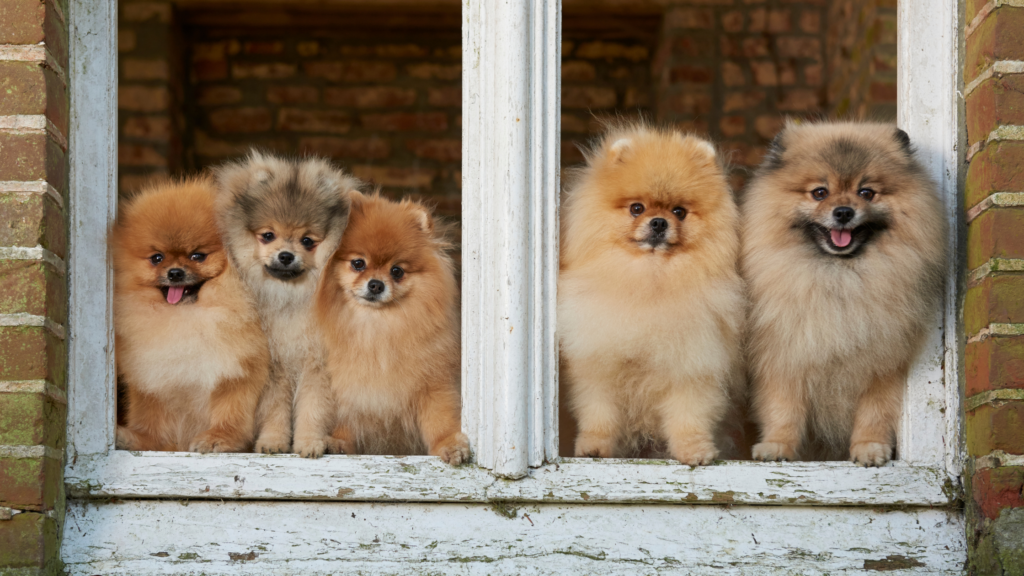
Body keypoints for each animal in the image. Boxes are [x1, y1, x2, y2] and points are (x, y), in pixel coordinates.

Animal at [113, 177, 270, 450]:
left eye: (197, 256)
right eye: (157, 258)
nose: (175, 272)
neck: (187, 317)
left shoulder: (239, 371)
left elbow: (231, 411)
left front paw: (220, 437)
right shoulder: (151, 379)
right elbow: (151, 421)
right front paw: (141, 439)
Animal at [290, 190, 468, 463]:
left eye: (397, 271)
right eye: (358, 264)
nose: (375, 284)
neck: (375, 329)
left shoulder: (434, 382)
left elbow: (441, 419)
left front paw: (449, 445)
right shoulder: (346, 388)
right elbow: (344, 421)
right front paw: (338, 442)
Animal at [561, 123, 745, 463]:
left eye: (679, 211)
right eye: (637, 208)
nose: (659, 222)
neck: (651, 281)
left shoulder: (692, 362)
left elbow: (689, 415)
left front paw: (694, 450)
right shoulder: (600, 364)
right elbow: (599, 413)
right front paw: (594, 447)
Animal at [741, 118, 946, 463]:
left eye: (866, 192)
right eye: (819, 192)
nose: (844, 212)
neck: (839, 278)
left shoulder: (882, 364)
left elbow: (874, 413)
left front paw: (870, 448)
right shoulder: (785, 356)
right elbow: (784, 410)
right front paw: (777, 446)